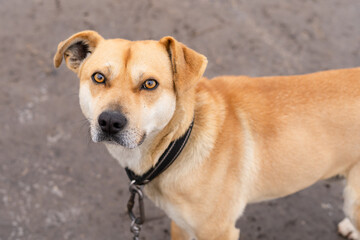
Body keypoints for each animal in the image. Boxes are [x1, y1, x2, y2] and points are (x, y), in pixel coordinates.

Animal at [53, 31, 360, 239]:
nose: (109, 122)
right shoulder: (180, 225)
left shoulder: (219, 231)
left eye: (150, 84)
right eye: (99, 78)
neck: (178, 141)